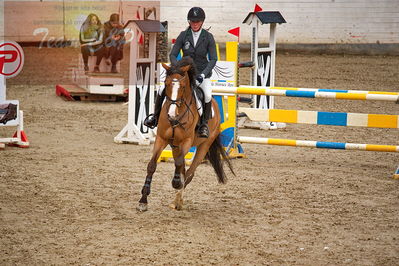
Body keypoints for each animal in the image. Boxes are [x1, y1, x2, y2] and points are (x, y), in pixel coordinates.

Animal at [138, 57, 234, 211]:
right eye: (166, 84)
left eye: (182, 87)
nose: (171, 115)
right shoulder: (161, 139)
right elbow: (152, 165)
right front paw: (143, 201)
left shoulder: (186, 142)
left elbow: (179, 165)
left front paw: (176, 182)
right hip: (175, 146)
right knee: (182, 167)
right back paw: (177, 198)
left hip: (203, 146)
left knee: (189, 173)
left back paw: (178, 199)